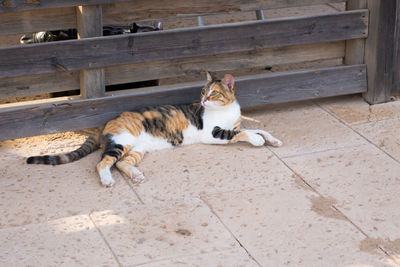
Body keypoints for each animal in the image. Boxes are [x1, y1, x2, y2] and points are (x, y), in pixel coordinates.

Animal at [26, 72, 282, 187]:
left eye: (214, 93)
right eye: (203, 92)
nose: (203, 100)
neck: (228, 110)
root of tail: (106, 123)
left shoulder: (239, 123)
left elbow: (258, 130)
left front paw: (273, 140)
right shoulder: (213, 133)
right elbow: (240, 133)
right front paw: (257, 141)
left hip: (138, 148)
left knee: (121, 163)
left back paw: (136, 175)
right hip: (122, 141)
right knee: (103, 163)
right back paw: (107, 180)